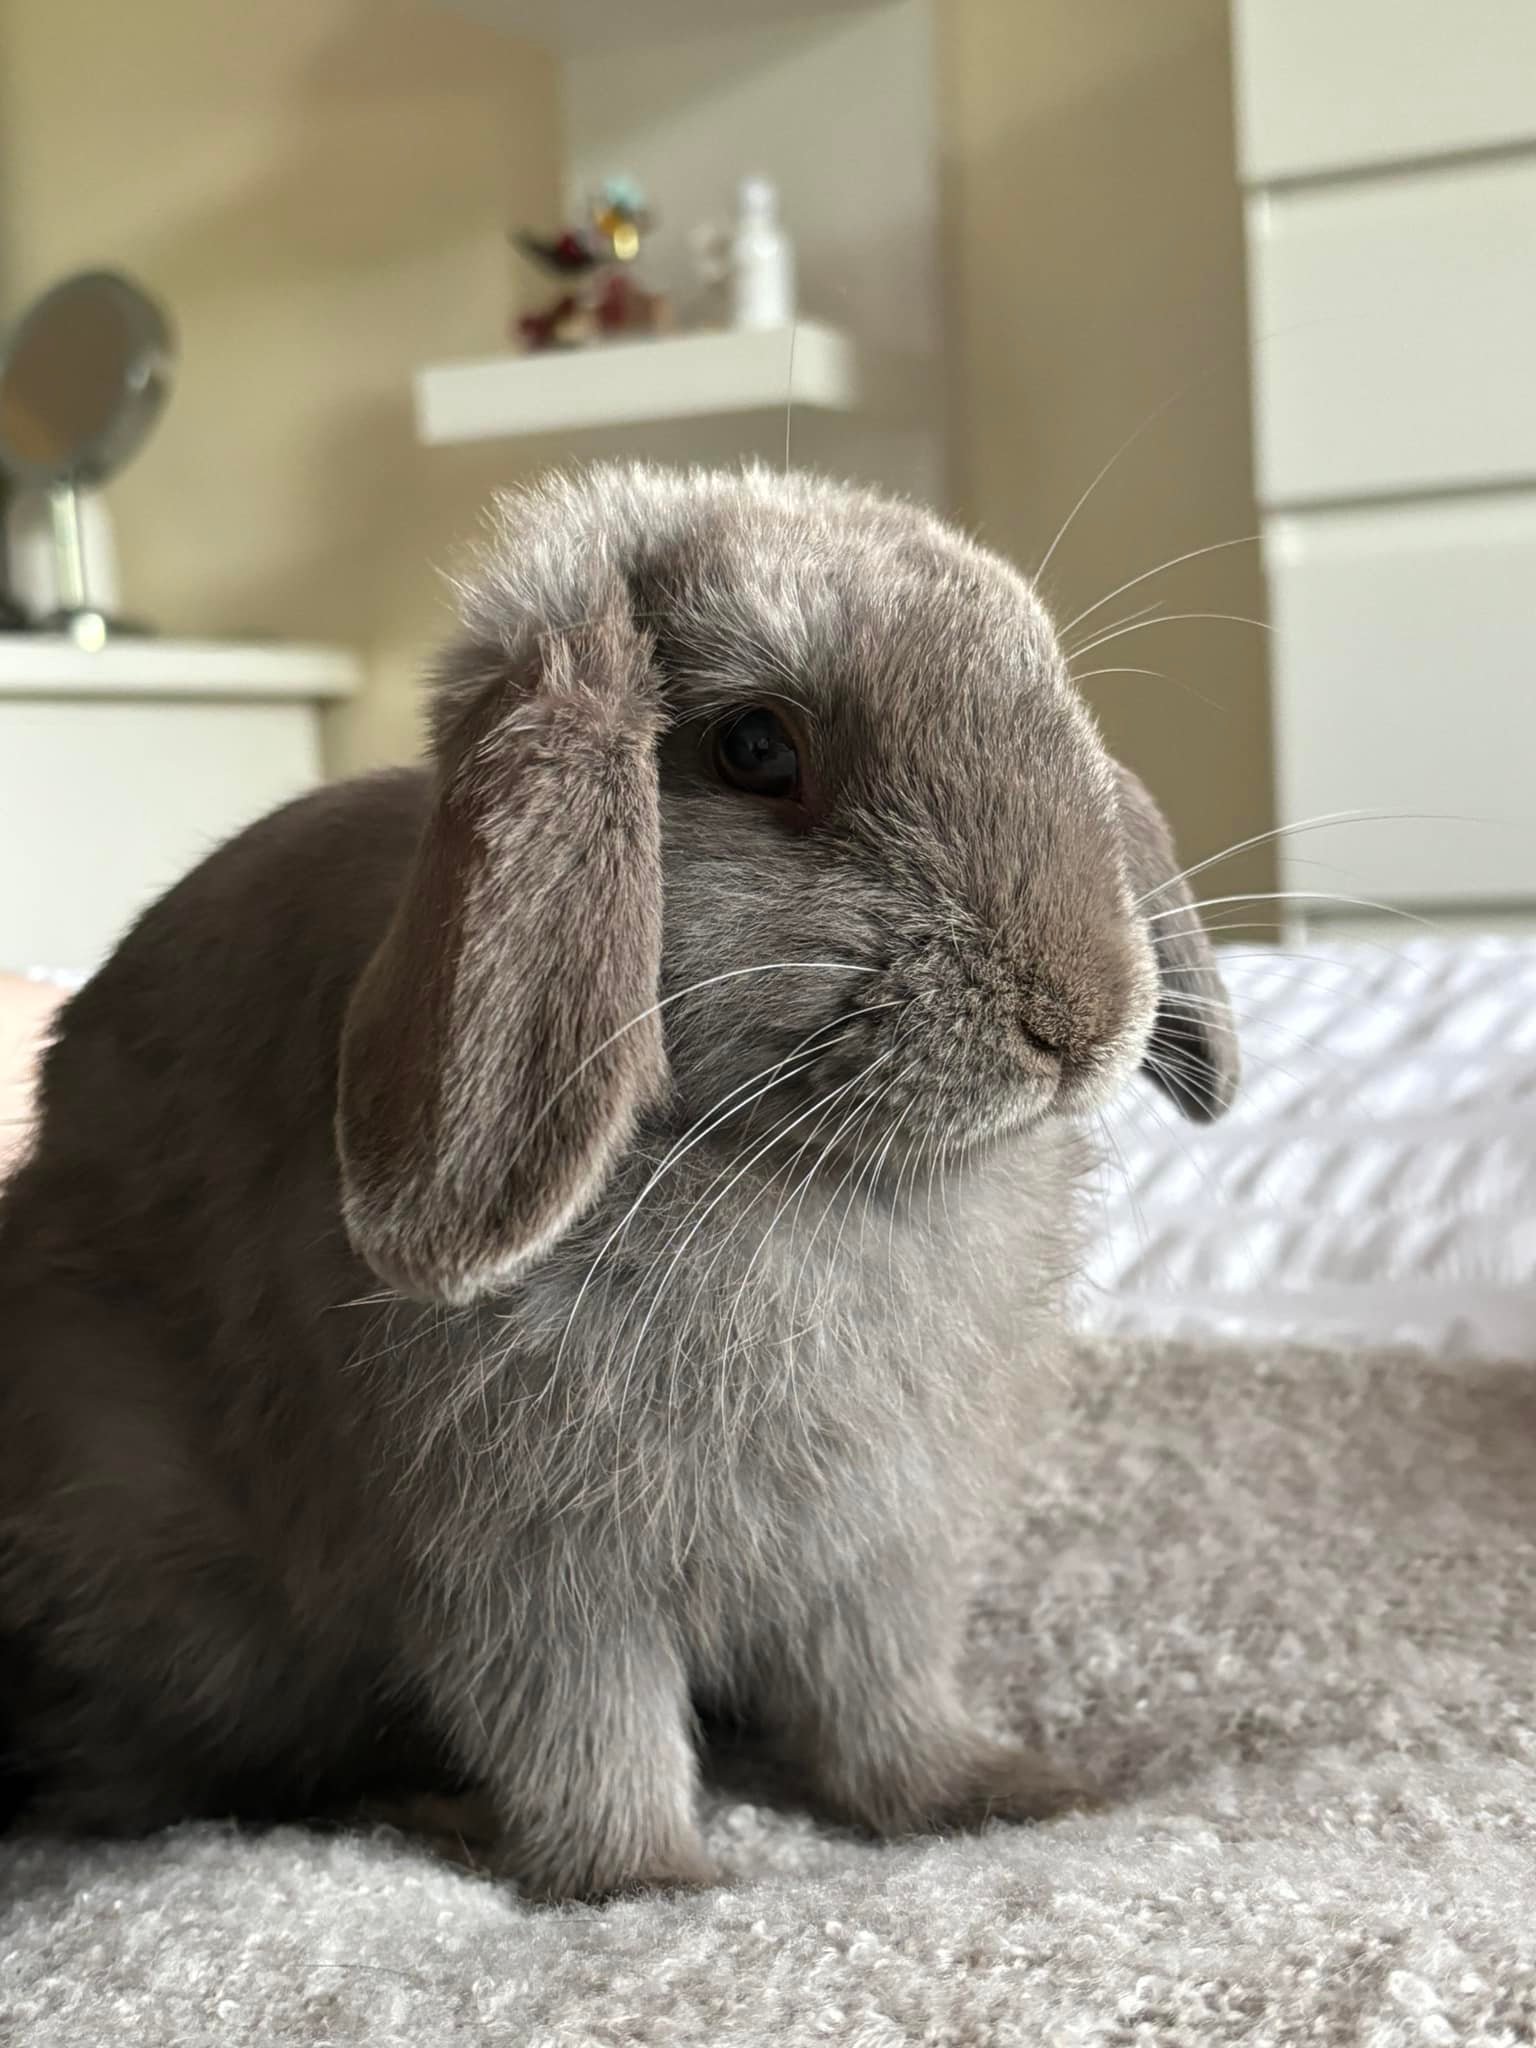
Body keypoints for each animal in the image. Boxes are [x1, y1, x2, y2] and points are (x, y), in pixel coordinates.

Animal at [0, 463, 1237, 1900]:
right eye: (754, 748)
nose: (1078, 1019)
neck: (789, 1165)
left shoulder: (882, 1550)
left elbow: (884, 1706)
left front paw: (1001, 1797)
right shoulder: (528, 1570)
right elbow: (587, 1737)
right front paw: (653, 1883)